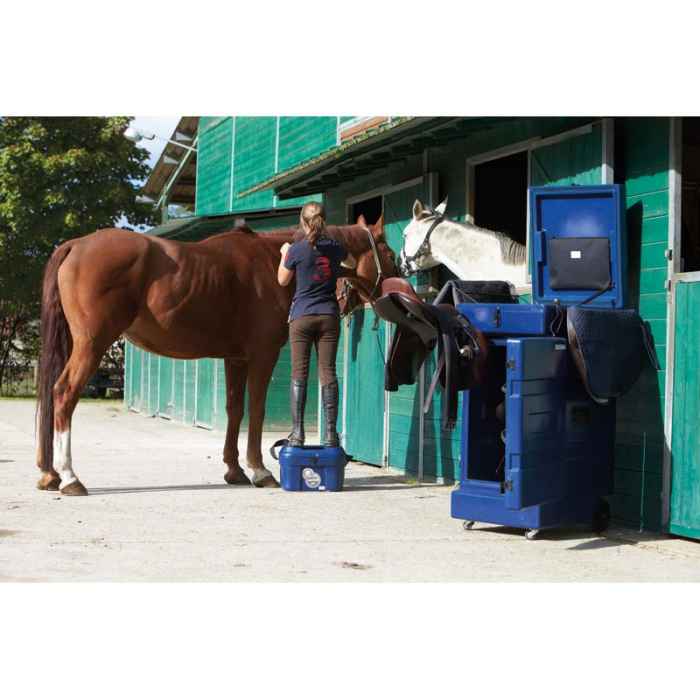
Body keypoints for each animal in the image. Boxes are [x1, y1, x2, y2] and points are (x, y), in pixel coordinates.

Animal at [38, 216, 396, 494]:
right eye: (390, 254)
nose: (394, 292)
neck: (273, 261)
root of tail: (77, 245)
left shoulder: (235, 358)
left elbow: (235, 410)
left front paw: (234, 471)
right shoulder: (263, 354)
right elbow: (256, 410)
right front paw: (260, 471)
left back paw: (50, 474)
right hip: (92, 344)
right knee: (64, 393)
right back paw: (70, 478)